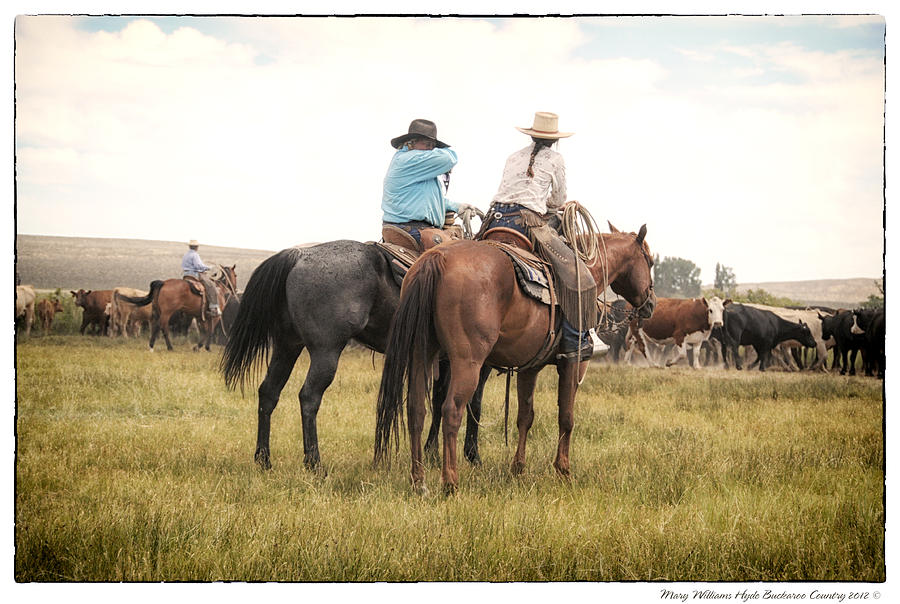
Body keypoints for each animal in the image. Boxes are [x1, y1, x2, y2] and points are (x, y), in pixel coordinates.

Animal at [220, 238, 486, 470]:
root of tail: (298, 256)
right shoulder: (469, 361)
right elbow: (467, 402)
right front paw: (466, 454)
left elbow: (440, 400)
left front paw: (433, 453)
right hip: (325, 352)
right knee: (309, 397)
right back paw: (314, 463)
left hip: (287, 347)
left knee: (268, 392)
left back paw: (264, 459)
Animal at [372, 224, 652, 494]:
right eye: (648, 261)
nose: (650, 303)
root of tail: (436, 257)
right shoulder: (572, 363)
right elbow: (566, 417)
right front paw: (563, 470)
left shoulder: (530, 367)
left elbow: (525, 417)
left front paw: (518, 468)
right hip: (467, 362)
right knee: (452, 410)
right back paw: (450, 482)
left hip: (421, 353)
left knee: (416, 409)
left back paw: (418, 480)